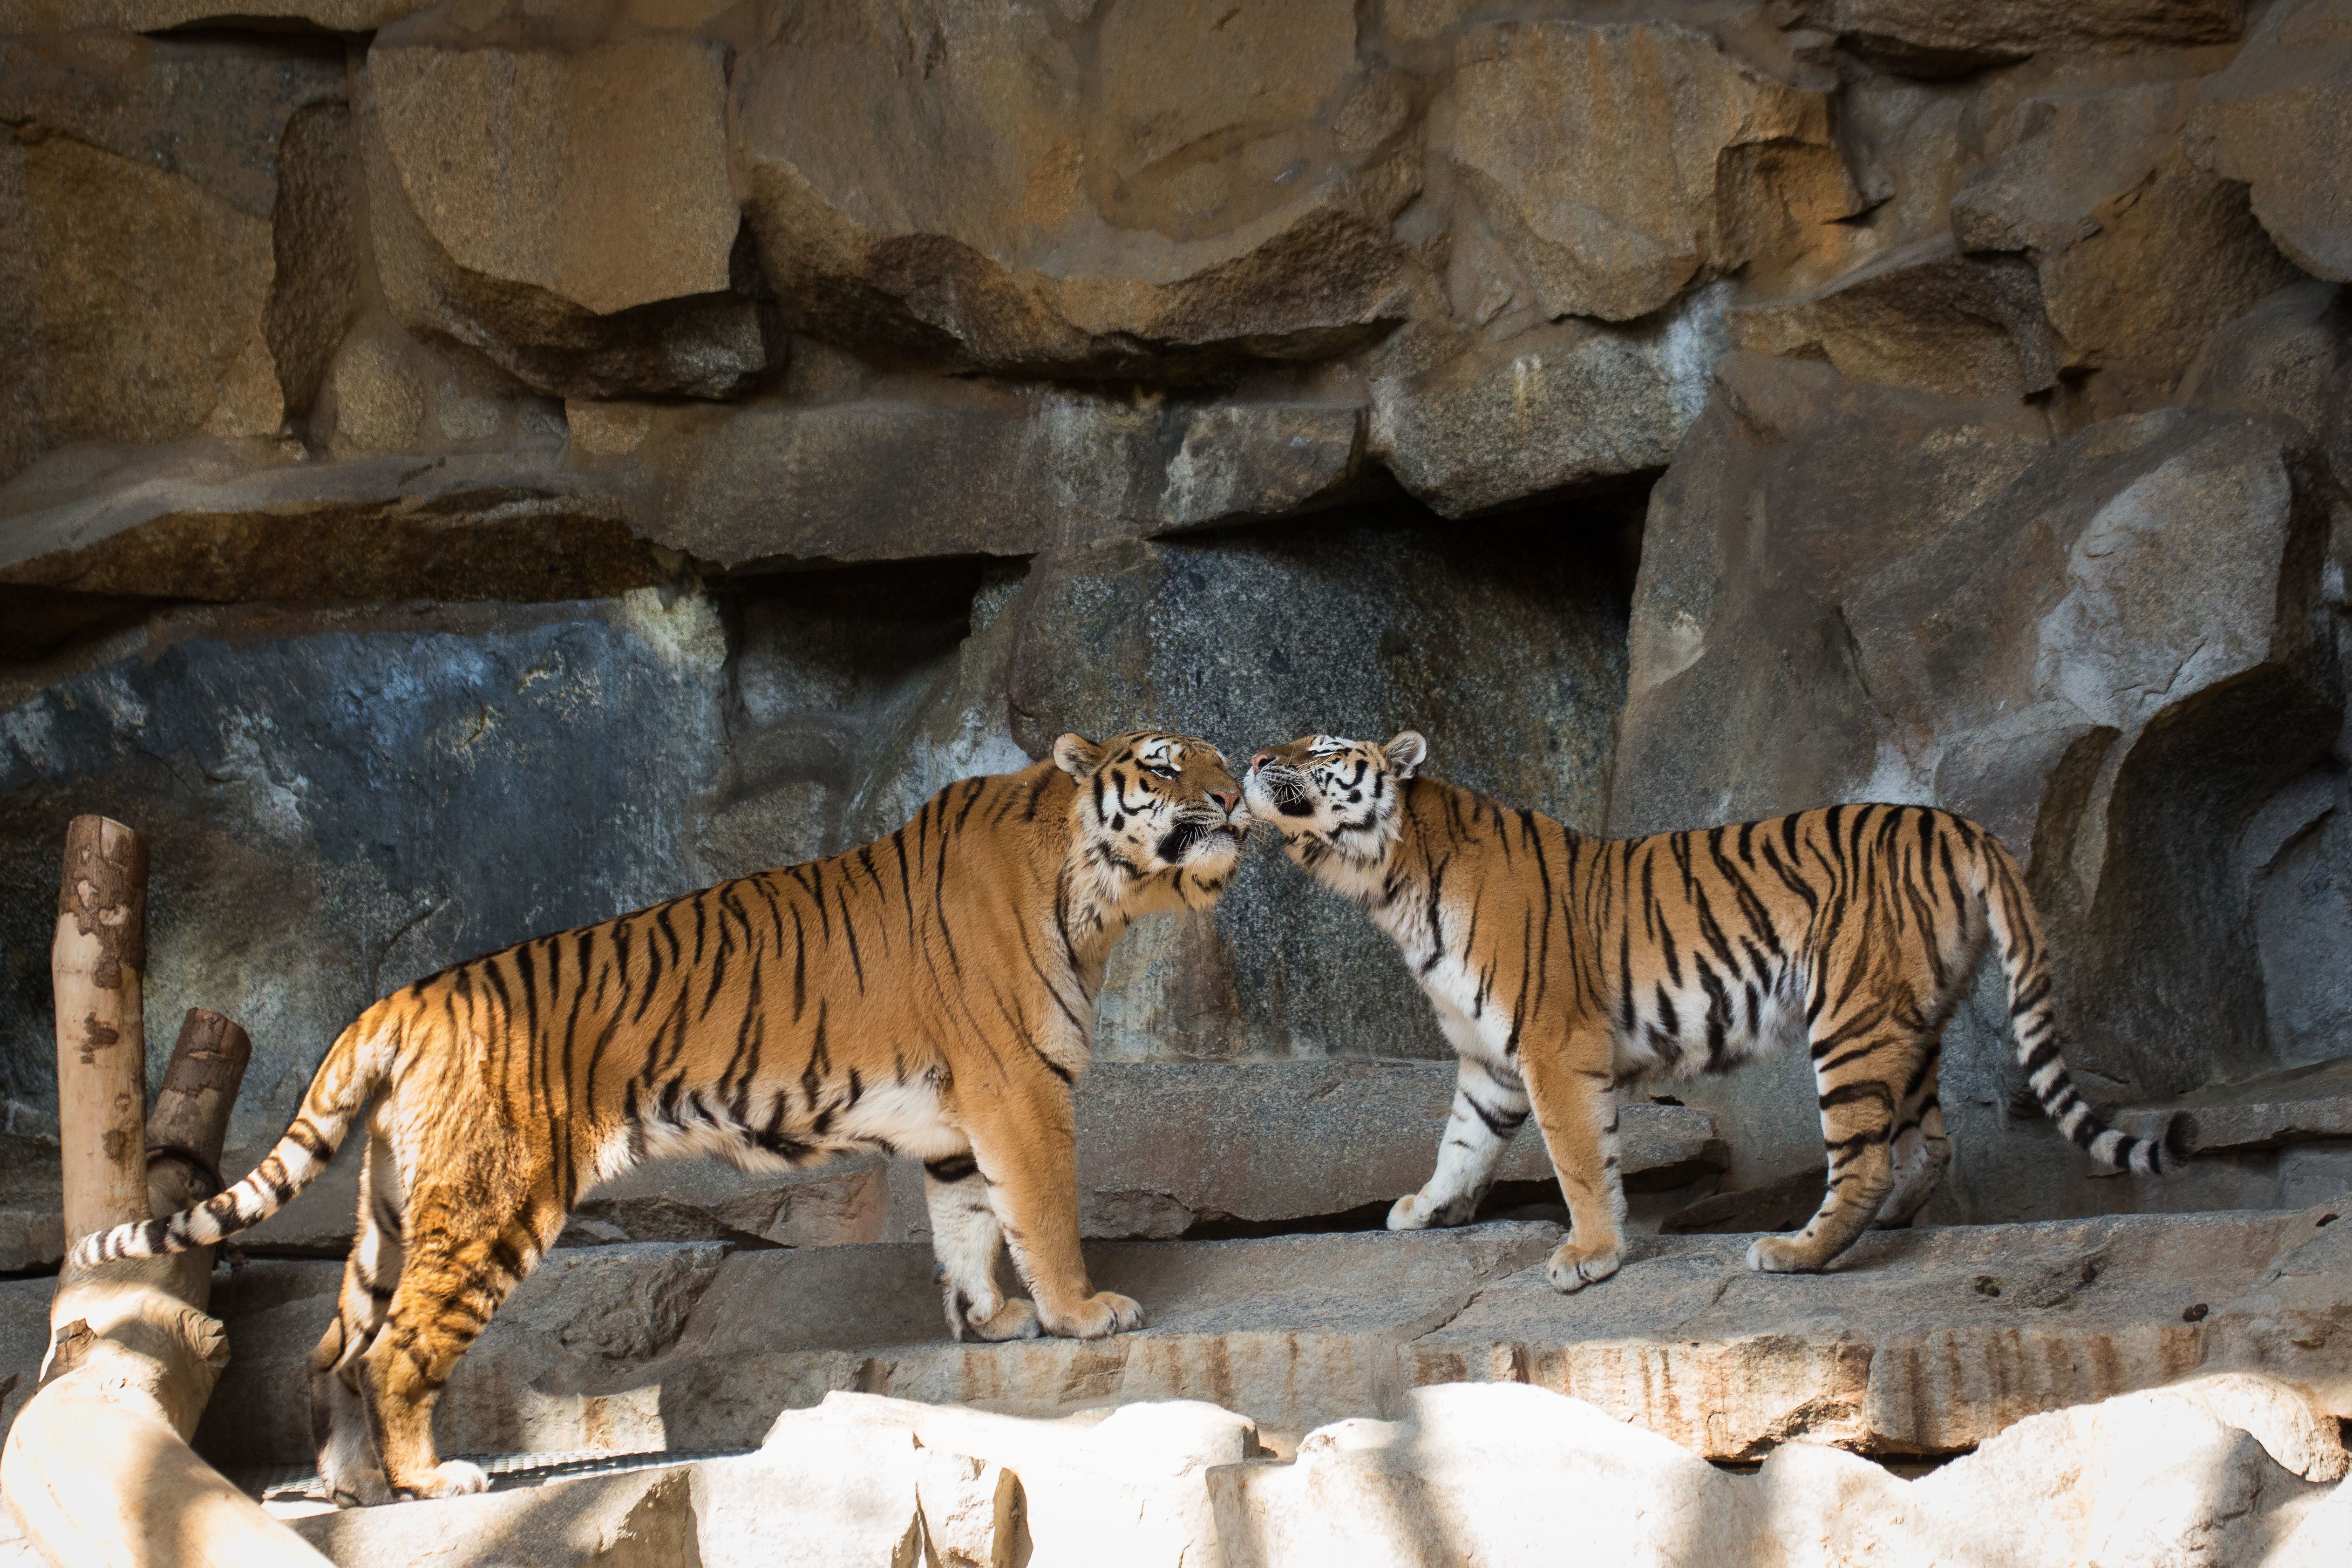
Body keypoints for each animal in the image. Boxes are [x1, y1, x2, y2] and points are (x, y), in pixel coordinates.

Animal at [70, 730, 1247, 1505]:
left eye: (1220, 756)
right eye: (1163, 764)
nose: (1240, 794)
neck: (1098, 895)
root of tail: (400, 998)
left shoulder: (961, 1129)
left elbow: (967, 1230)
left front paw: (993, 1321)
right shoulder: (1020, 1094)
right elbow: (1040, 1215)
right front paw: (1086, 1313)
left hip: (396, 1206)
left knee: (334, 1350)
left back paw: (355, 1487)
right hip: (495, 1201)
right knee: (398, 1350)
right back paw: (434, 1482)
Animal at [1241, 730, 2179, 1295]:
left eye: (1321, 746)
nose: (1250, 756)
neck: (1390, 883)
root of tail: (1959, 825)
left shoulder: (1551, 1042)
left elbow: (1577, 1158)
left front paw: (1589, 1254)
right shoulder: (1490, 1061)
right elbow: (1462, 1144)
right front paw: (1429, 1208)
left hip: (1851, 1017)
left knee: (1867, 1160)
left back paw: (1795, 1251)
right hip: (1908, 1019)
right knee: (1927, 1149)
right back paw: (1876, 1228)